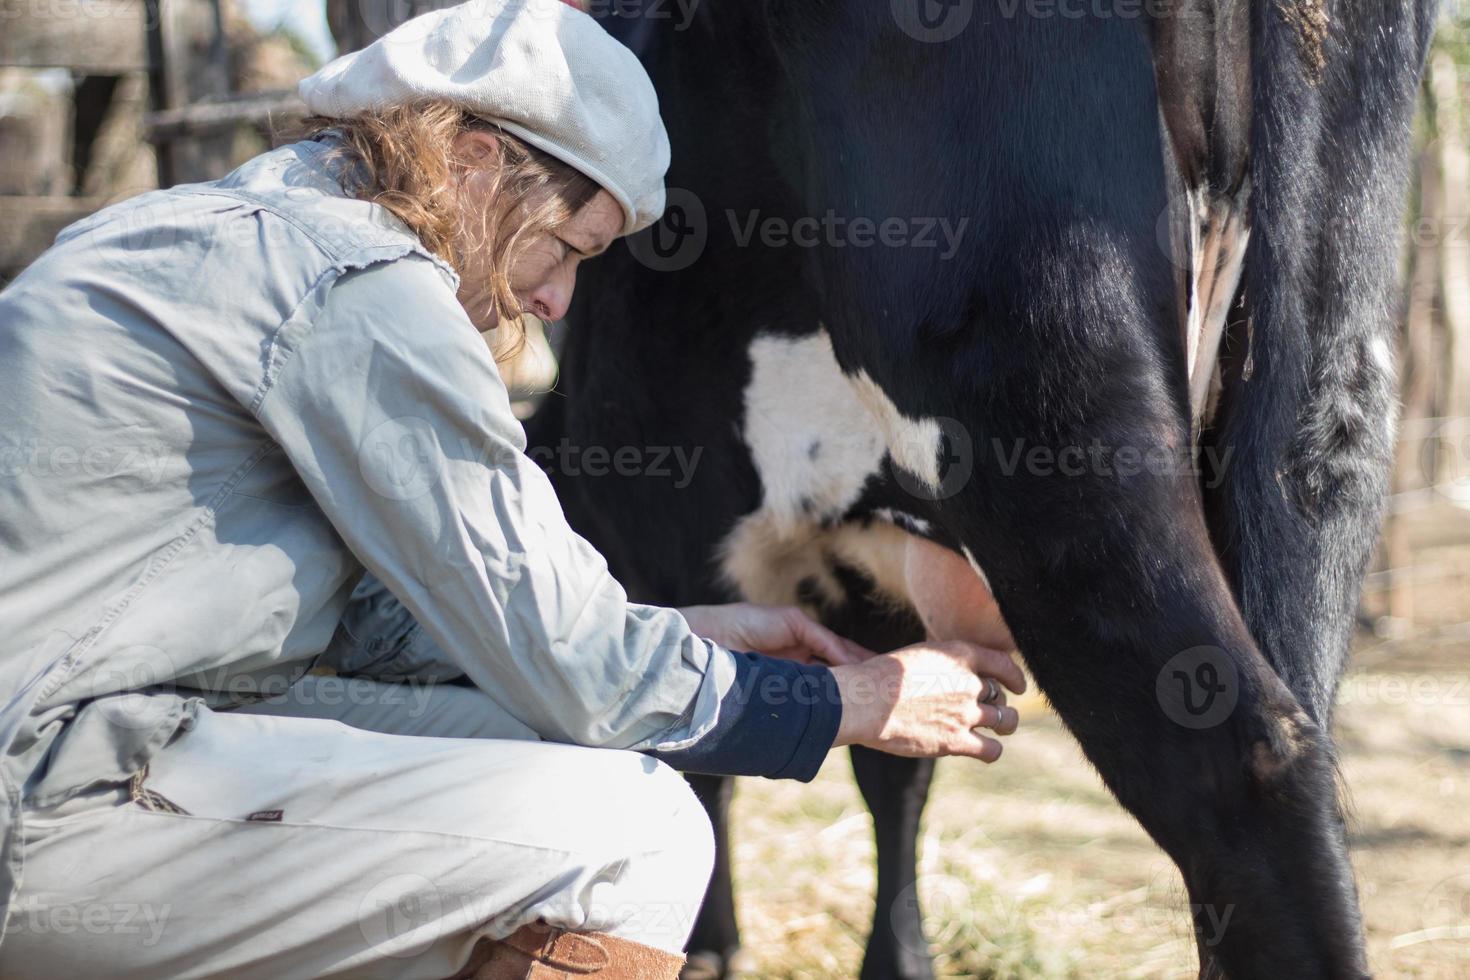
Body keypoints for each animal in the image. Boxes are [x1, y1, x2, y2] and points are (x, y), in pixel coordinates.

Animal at [529, 3, 1434, 975]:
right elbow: (892, 763)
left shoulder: (669, 531)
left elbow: (702, 756)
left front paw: (706, 944)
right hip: (1323, 403)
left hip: (1047, 388)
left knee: (1250, 766)